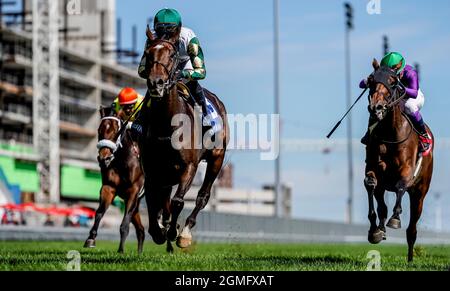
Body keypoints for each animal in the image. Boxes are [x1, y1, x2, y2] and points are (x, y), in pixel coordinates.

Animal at [84, 107, 146, 256]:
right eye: (99, 130)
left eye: (117, 130)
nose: (104, 158)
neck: (122, 162)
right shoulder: (109, 187)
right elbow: (99, 212)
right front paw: (91, 238)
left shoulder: (133, 190)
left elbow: (124, 223)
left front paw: (120, 250)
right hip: (137, 204)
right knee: (141, 229)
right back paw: (139, 253)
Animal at [137, 29, 229, 253]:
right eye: (148, 54)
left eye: (171, 55)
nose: (156, 83)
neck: (167, 123)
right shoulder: (152, 170)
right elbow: (152, 201)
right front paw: (159, 231)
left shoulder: (189, 166)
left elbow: (178, 201)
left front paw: (173, 232)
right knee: (164, 199)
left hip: (217, 158)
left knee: (202, 196)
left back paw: (184, 232)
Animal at [364, 59, 434, 262]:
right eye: (371, 80)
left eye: (393, 81)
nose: (376, 107)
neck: (389, 132)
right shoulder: (372, 167)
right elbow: (370, 184)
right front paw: (375, 231)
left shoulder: (406, 169)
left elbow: (401, 185)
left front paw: (395, 219)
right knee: (382, 205)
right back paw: (380, 229)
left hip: (420, 193)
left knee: (412, 228)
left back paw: (410, 258)